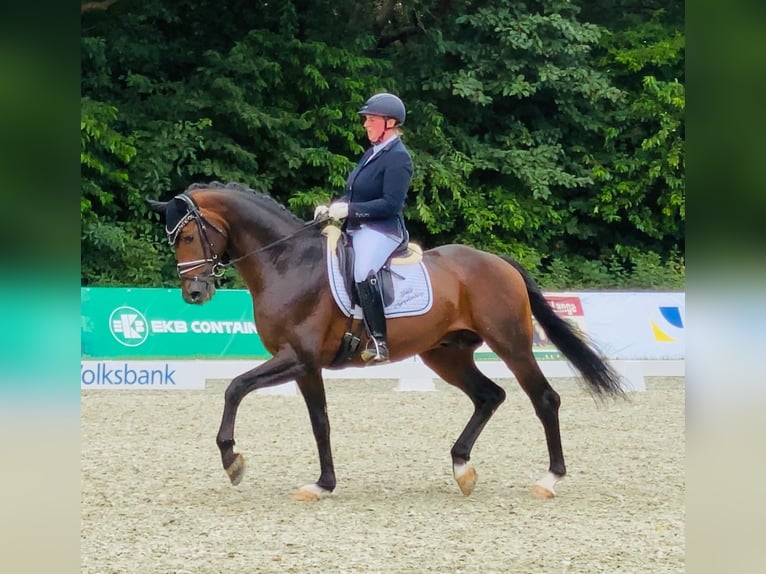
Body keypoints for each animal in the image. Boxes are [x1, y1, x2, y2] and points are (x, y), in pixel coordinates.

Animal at [147, 181, 624, 501]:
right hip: (445, 355)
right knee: (489, 396)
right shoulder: (306, 365)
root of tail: (499, 262)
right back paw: (462, 467)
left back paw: (549, 479)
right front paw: (323, 484)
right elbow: (320, 422)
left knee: (543, 398)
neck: (287, 263)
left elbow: (235, 387)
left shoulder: (297, 357)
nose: (195, 293)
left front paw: (232, 460)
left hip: (511, 344)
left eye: (187, 235)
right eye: (173, 240)